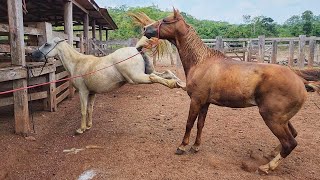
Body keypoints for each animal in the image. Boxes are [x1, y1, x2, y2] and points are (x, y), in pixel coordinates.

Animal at [31, 36, 185, 134]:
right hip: (146, 73)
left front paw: (81, 129)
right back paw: (180, 83)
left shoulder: (83, 92)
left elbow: (83, 110)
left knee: (155, 78)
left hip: (136, 77)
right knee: (166, 73)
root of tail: (136, 49)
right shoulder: (91, 93)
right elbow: (90, 109)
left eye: (47, 44)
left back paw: (174, 84)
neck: (77, 63)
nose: (33, 55)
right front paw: (88, 126)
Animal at [144, 8, 318, 174]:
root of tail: (299, 78)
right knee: (292, 135)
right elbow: (200, 124)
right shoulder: (205, 103)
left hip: (272, 118)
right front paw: (196, 146)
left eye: (165, 20)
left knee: (290, 143)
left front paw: (182, 146)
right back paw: (269, 155)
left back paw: (266, 167)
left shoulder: (196, 100)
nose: (145, 29)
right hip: (282, 119)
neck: (201, 62)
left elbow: (189, 123)